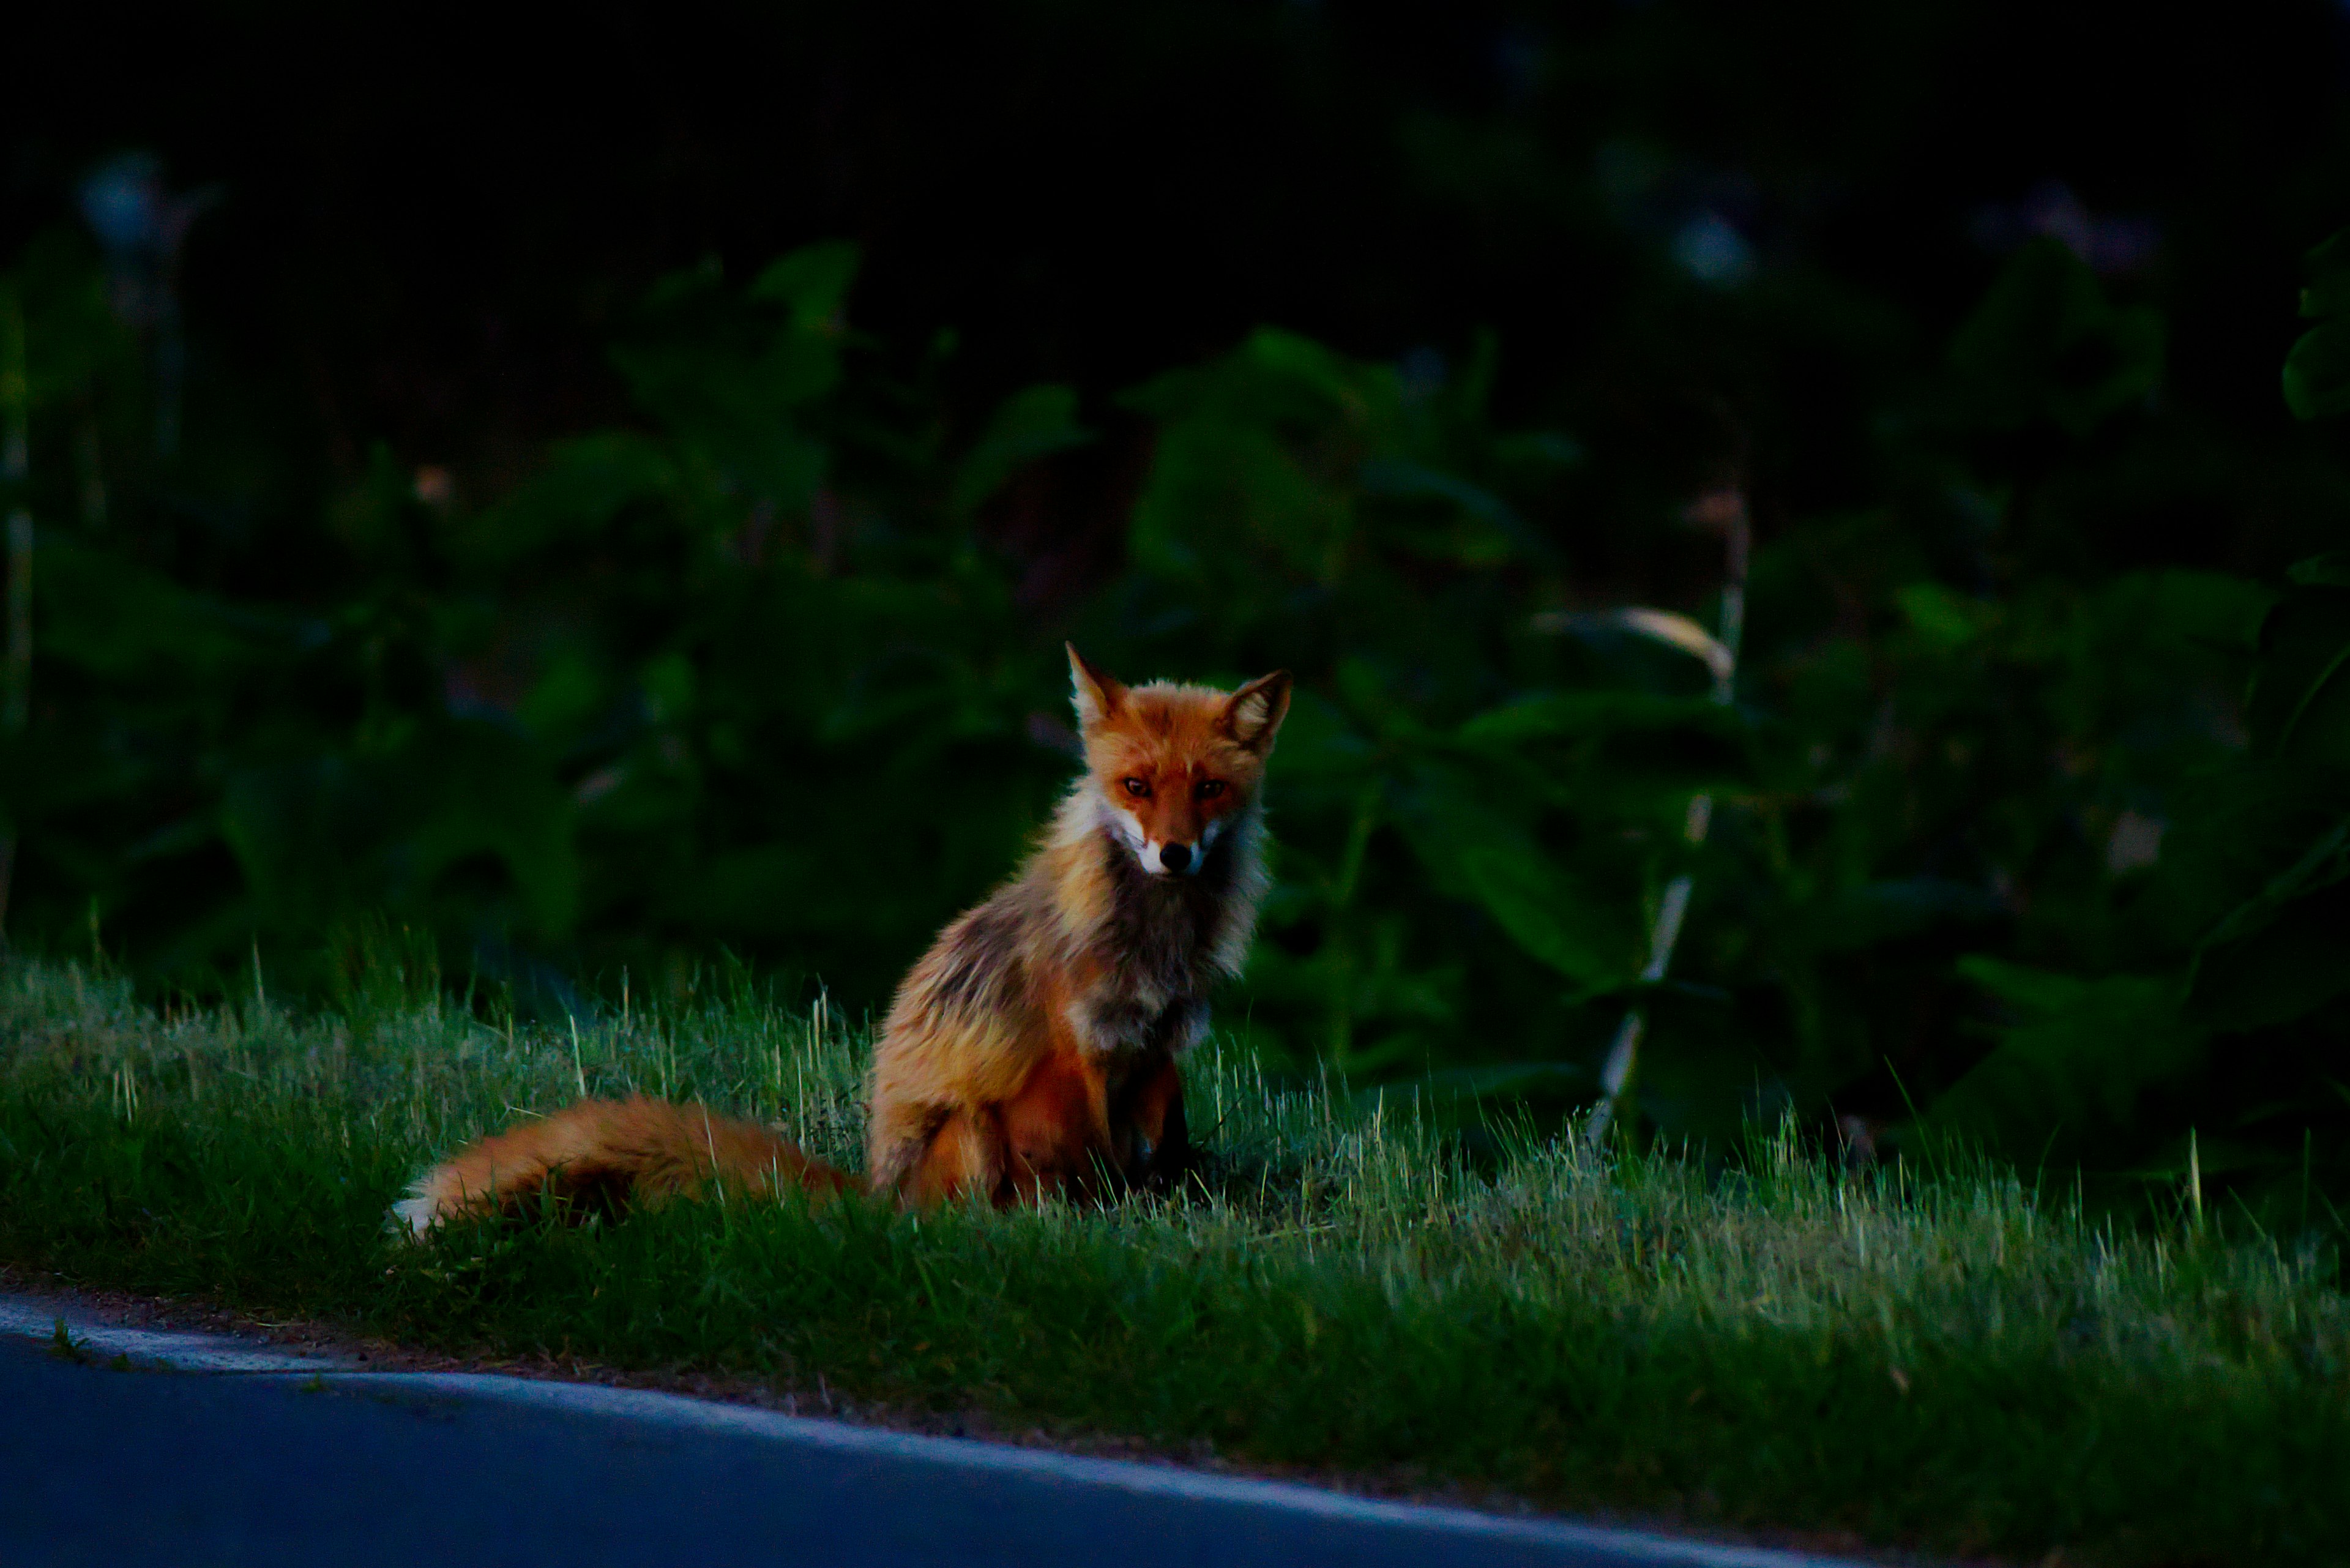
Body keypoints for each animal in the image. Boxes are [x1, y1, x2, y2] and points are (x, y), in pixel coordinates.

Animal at [395, 639, 1297, 1241]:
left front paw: (1154, 1216)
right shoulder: (1079, 1050)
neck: (1156, 945)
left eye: (1209, 789)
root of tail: (874, 1194)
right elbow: (1095, 1153)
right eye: (1135, 786)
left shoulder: (1161, 1045)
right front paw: (1110, 1227)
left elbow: (1158, 1149)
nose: (1173, 853)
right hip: (974, 1128)